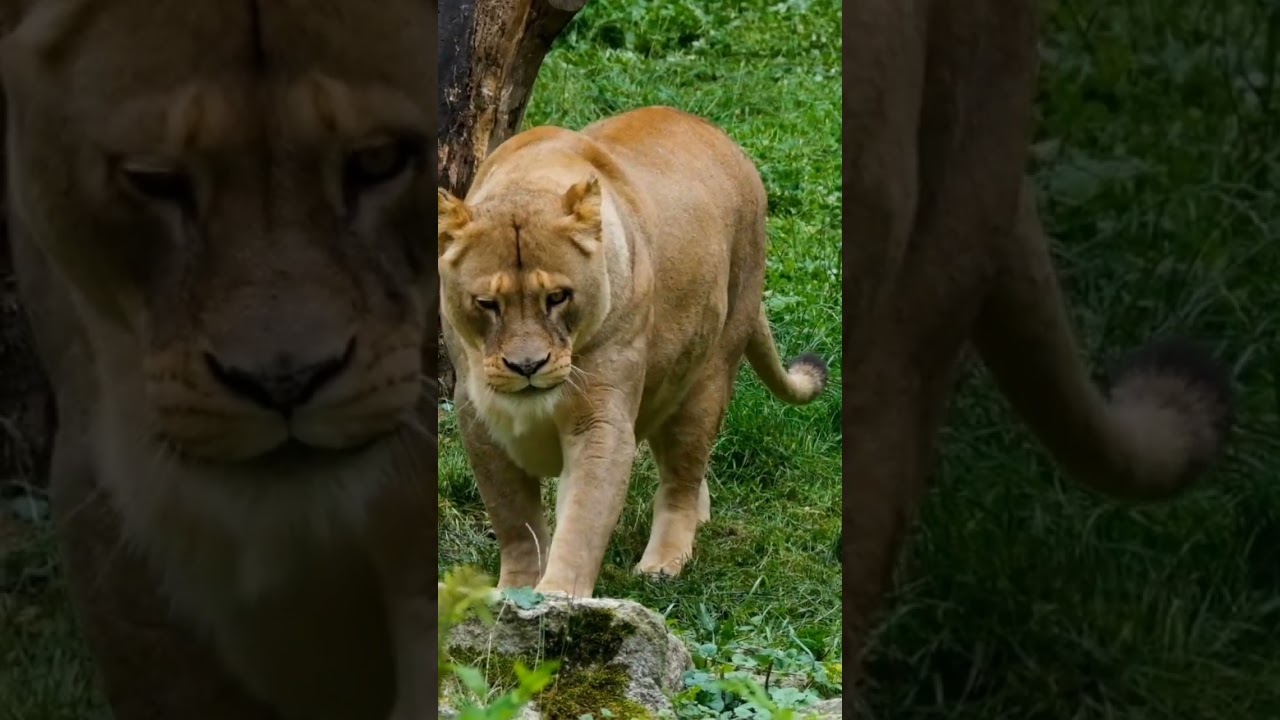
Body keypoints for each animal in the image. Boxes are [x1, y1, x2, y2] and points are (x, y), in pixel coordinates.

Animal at [436, 106, 830, 598]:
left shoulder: (600, 420)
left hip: (707, 379)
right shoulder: (478, 420)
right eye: (488, 304)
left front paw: (558, 599)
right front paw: (515, 594)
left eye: (558, 297)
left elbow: (583, 519)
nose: (527, 366)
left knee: (681, 477)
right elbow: (515, 521)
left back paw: (663, 563)